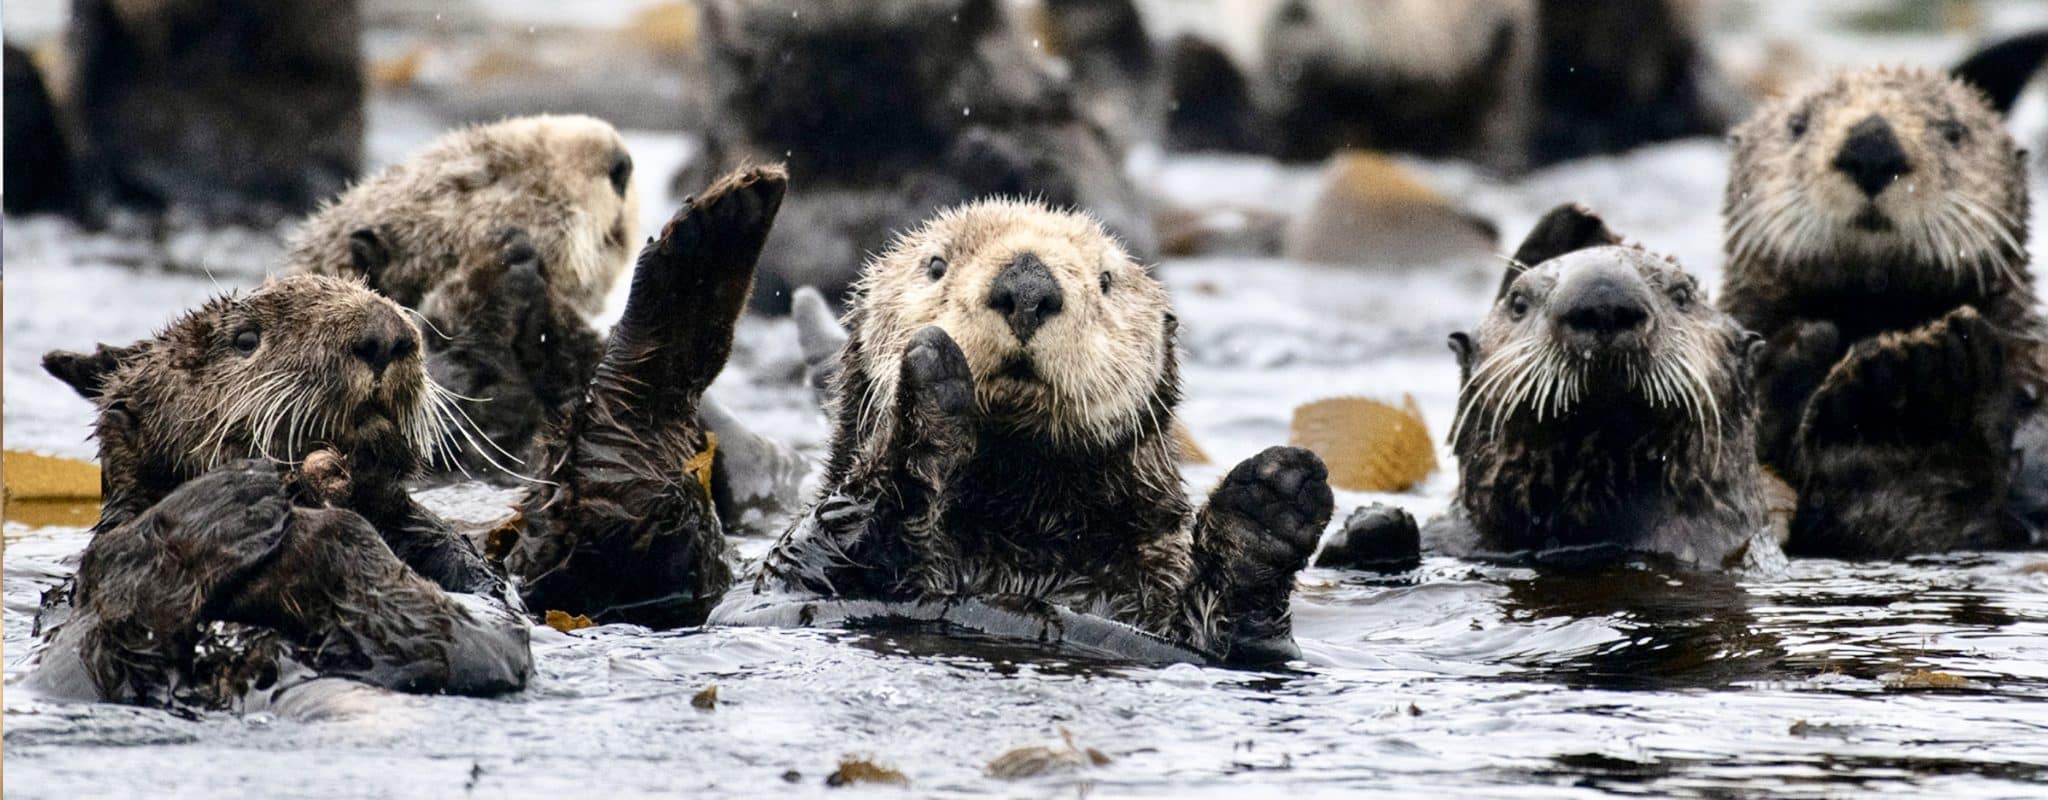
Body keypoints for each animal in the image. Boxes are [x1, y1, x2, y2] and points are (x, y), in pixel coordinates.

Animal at [29, 167, 784, 708]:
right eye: (244, 338)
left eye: (390, 304)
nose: (385, 334)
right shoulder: (83, 631)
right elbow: (106, 623)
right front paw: (238, 503)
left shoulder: (479, 583)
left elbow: (473, 630)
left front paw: (304, 512)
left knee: (625, 492)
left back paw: (716, 234)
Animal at [721, 199, 1334, 664]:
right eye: (936, 263)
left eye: (1106, 281)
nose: (1027, 284)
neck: (1015, 522)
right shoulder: (788, 576)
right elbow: (837, 537)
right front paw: (929, 376)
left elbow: (1236, 638)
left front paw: (1271, 501)